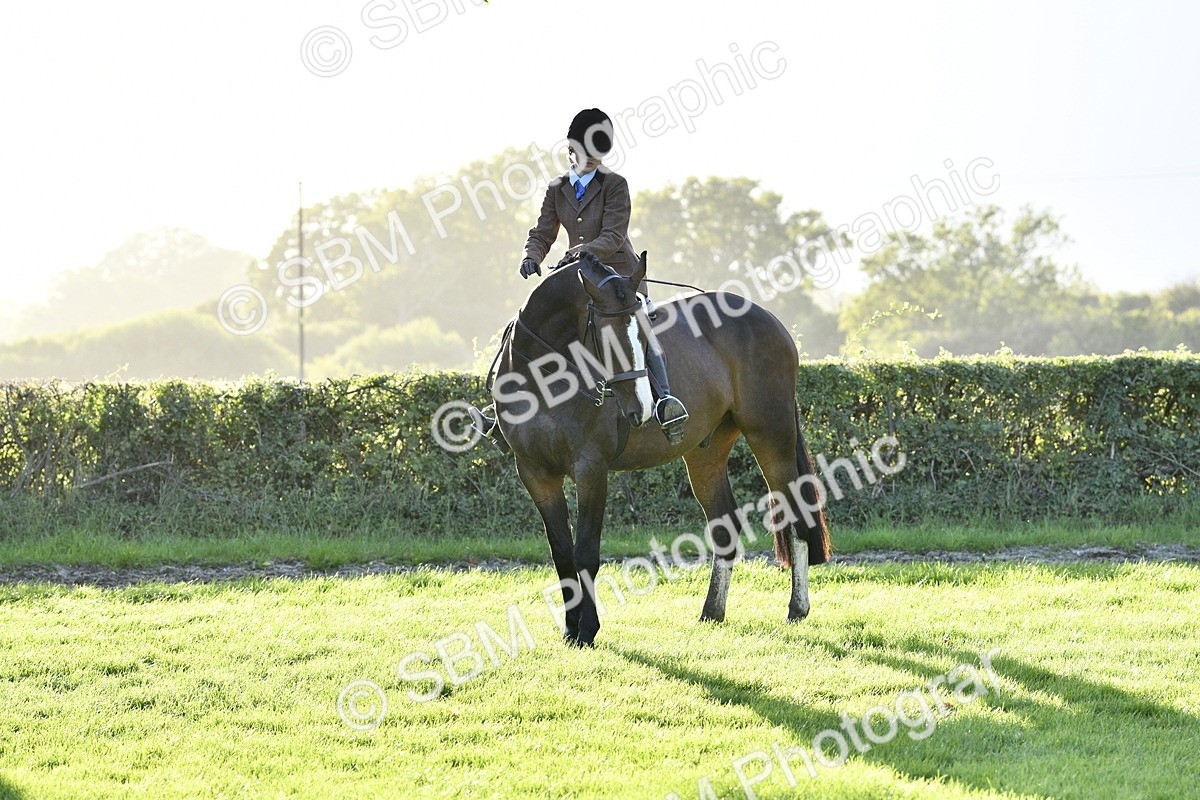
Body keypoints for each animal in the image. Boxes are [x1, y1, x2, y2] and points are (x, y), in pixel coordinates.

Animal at [491, 251, 830, 646]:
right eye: (608, 340)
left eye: (645, 334)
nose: (640, 407)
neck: (544, 380)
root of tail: (768, 319)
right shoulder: (535, 473)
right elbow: (562, 553)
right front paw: (570, 628)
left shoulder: (591, 470)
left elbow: (585, 552)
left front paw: (587, 629)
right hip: (705, 453)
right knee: (725, 527)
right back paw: (712, 611)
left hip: (771, 435)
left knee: (796, 517)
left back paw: (797, 607)